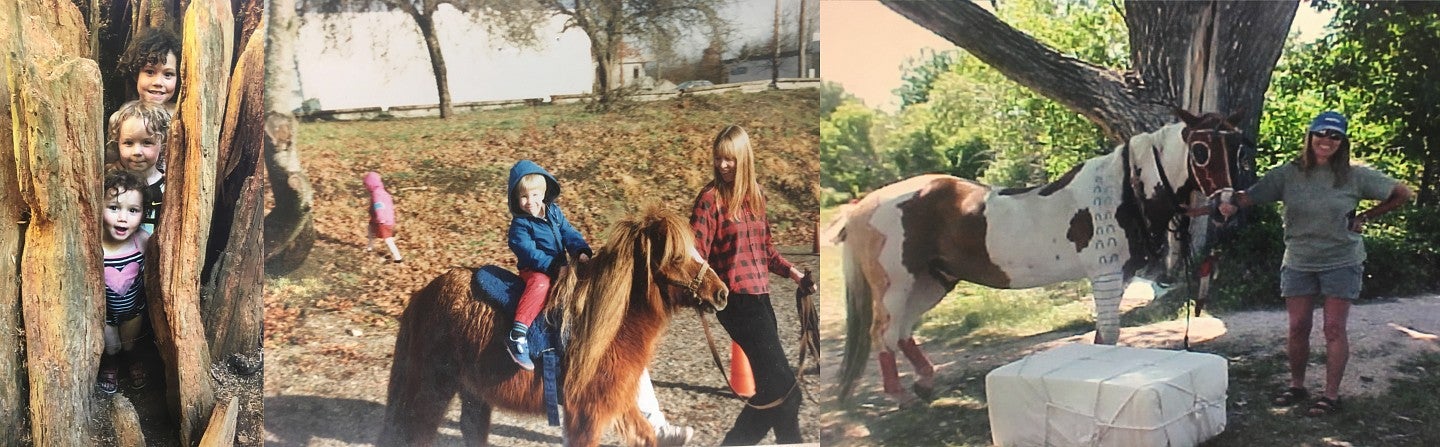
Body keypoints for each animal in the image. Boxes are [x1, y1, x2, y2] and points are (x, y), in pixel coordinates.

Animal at [380, 207, 731, 444]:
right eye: (676, 258)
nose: (721, 293)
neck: (605, 330)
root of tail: (423, 294)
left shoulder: (616, 404)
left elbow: (646, 435)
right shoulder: (588, 413)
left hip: (473, 392)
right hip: (433, 387)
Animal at [835, 110, 1249, 403]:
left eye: (1238, 148)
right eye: (1201, 151)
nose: (1228, 204)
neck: (1125, 189)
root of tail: (862, 206)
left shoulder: (1119, 276)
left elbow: (1103, 335)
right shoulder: (1105, 275)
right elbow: (1110, 334)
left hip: (932, 281)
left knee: (903, 330)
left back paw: (924, 382)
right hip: (896, 284)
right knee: (883, 333)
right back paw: (898, 394)